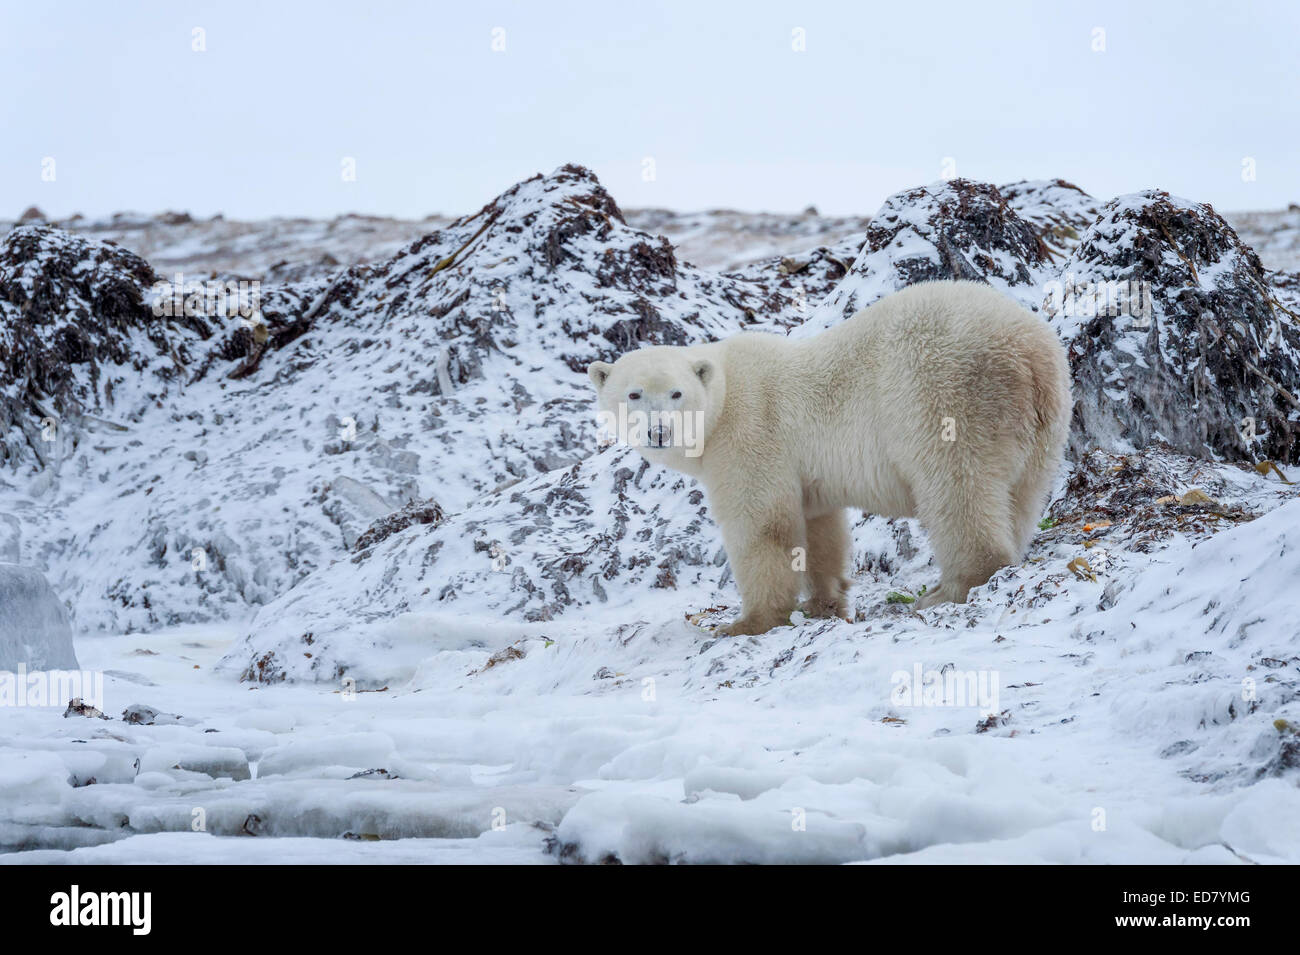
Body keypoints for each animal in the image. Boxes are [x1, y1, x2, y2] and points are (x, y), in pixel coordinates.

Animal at [587, 278, 1066, 634]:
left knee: (955, 487)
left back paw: (947, 589)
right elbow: (820, 529)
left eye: (676, 393)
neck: (725, 394)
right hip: (1045, 421)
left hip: (942, 394)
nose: (659, 431)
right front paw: (824, 603)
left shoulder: (752, 432)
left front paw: (746, 622)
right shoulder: (806, 471)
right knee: (1021, 496)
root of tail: (1024, 350)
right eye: (633, 394)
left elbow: (763, 525)